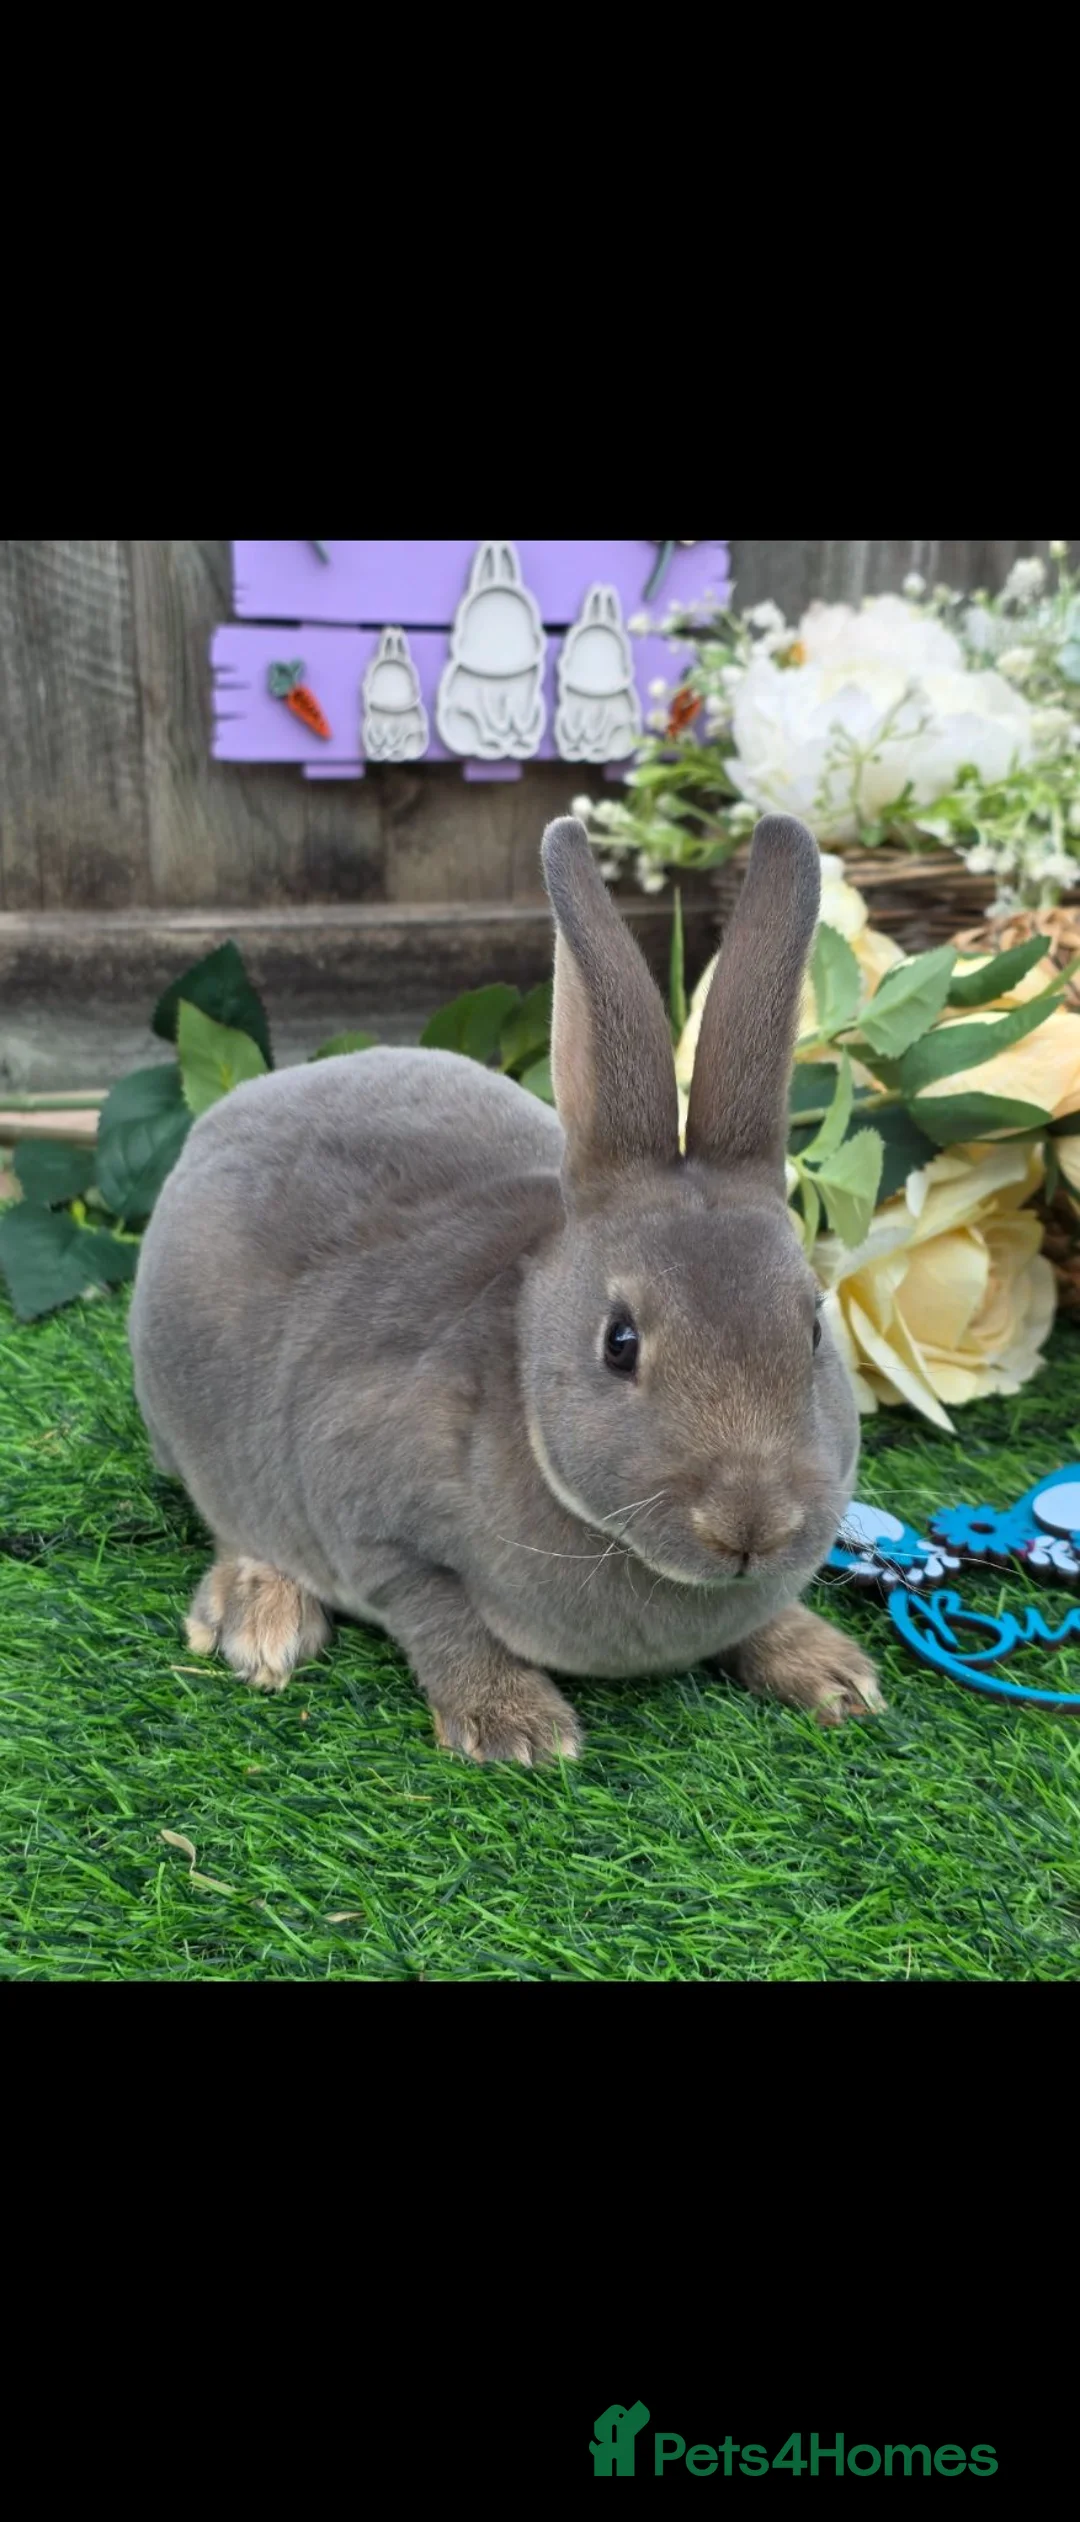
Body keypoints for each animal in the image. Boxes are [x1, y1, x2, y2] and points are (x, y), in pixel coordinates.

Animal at [129, 812, 884, 1764]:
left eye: (814, 1331)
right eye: (619, 1343)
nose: (751, 1528)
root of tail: (235, 1107)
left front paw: (832, 1674)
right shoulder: (372, 1527)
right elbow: (441, 1616)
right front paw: (515, 1727)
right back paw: (261, 1620)